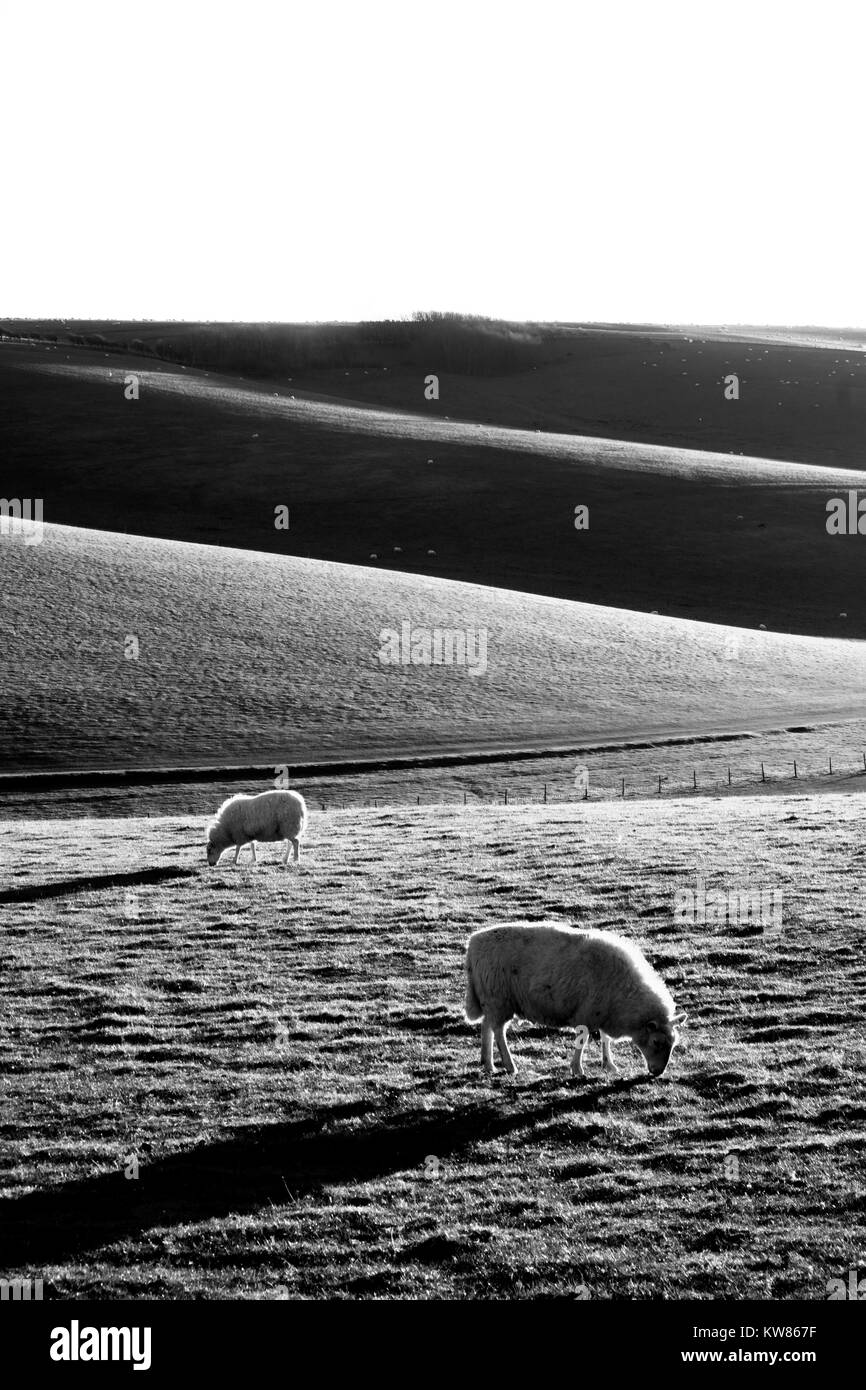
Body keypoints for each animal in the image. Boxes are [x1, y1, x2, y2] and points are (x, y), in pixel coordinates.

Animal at [464, 928, 686, 1078]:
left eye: (673, 1043)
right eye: (656, 1042)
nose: (658, 1072)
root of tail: (473, 943)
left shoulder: (604, 1011)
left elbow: (605, 1038)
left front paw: (609, 1065)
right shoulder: (587, 1012)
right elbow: (584, 1038)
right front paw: (578, 1069)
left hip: (491, 1000)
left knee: (486, 1026)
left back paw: (487, 1063)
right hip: (499, 998)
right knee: (498, 1031)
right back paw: (509, 1065)